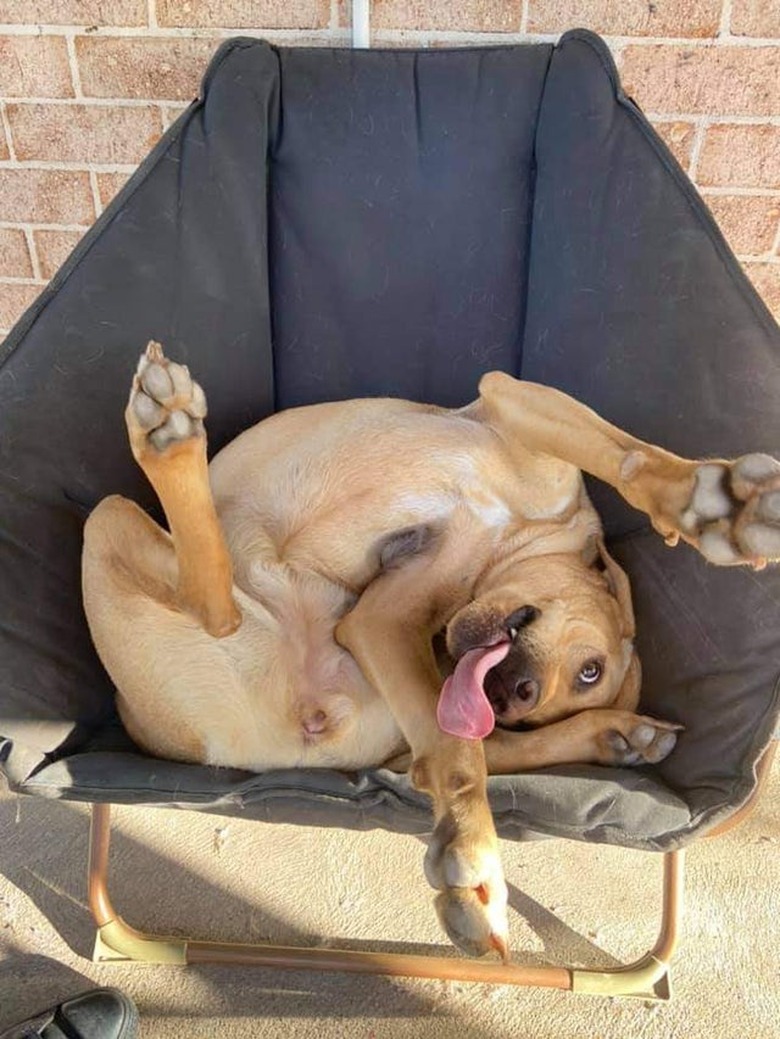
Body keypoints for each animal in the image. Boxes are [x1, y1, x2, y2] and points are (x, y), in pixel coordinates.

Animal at [81, 344, 780, 960]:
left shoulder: (380, 622)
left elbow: (459, 755)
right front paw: (705, 505)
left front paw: (469, 854)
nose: (518, 697)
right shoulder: (515, 402)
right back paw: (171, 436)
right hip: (112, 518)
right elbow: (625, 454)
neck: (522, 537)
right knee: (210, 599)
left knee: (218, 608)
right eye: (591, 668)